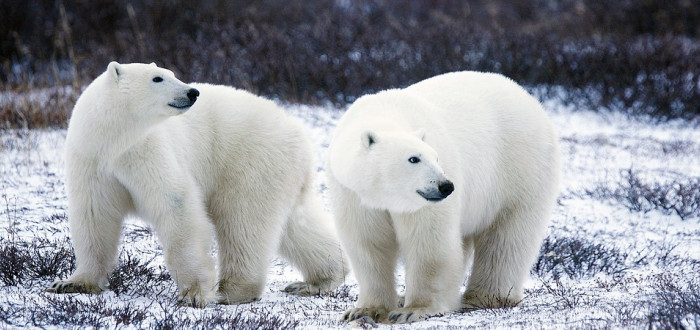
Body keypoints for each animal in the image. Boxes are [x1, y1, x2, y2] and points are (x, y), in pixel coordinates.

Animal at [46, 62, 348, 306]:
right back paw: (318, 280)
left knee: (243, 221)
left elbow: (176, 203)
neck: (114, 140)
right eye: (158, 78)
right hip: (281, 172)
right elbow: (94, 216)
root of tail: (299, 133)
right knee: (295, 224)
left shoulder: (147, 150)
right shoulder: (92, 160)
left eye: (172, 73)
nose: (192, 92)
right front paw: (71, 283)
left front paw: (193, 294)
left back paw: (232, 291)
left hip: (250, 160)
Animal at [330, 71, 564, 322]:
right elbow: (368, 243)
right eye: (414, 158)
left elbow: (429, 241)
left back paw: (484, 298)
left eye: (436, 157)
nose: (446, 186)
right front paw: (363, 310)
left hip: (520, 169)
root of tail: (529, 98)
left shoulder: (423, 203)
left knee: (506, 237)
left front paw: (413, 310)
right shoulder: (354, 194)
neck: (385, 113)